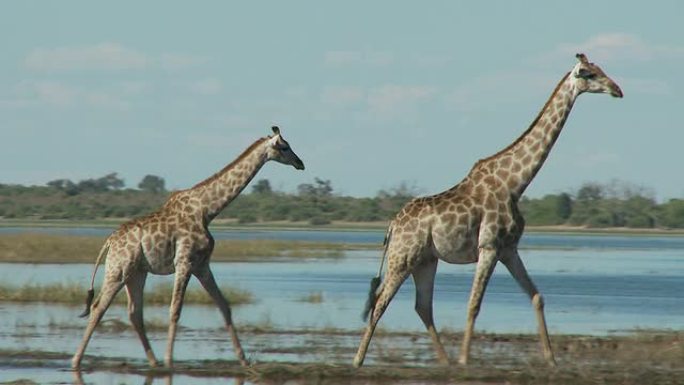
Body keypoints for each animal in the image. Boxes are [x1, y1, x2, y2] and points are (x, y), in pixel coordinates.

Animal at [71, 124, 304, 368]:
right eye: (284, 147)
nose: (300, 163)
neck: (208, 210)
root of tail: (109, 242)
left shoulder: (202, 265)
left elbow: (225, 306)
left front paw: (243, 359)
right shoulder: (184, 261)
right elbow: (175, 310)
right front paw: (170, 360)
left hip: (137, 273)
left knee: (134, 312)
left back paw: (153, 361)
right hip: (118, 270)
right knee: (98, 307)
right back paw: (76, 360)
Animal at [356, 53, 624, 366]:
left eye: (600, 69)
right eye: (588, 73)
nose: (617, 89)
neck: (516, 184)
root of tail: (392, 226)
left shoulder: (509, 249)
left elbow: (537, 297)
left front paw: (551, 360)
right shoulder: (489, 246)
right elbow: (474, 304)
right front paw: (464, 360)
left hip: (426, 261)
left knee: (422, 306)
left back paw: (444, 361)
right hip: (403, 258)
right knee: (380, 303)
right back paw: (358, 361)